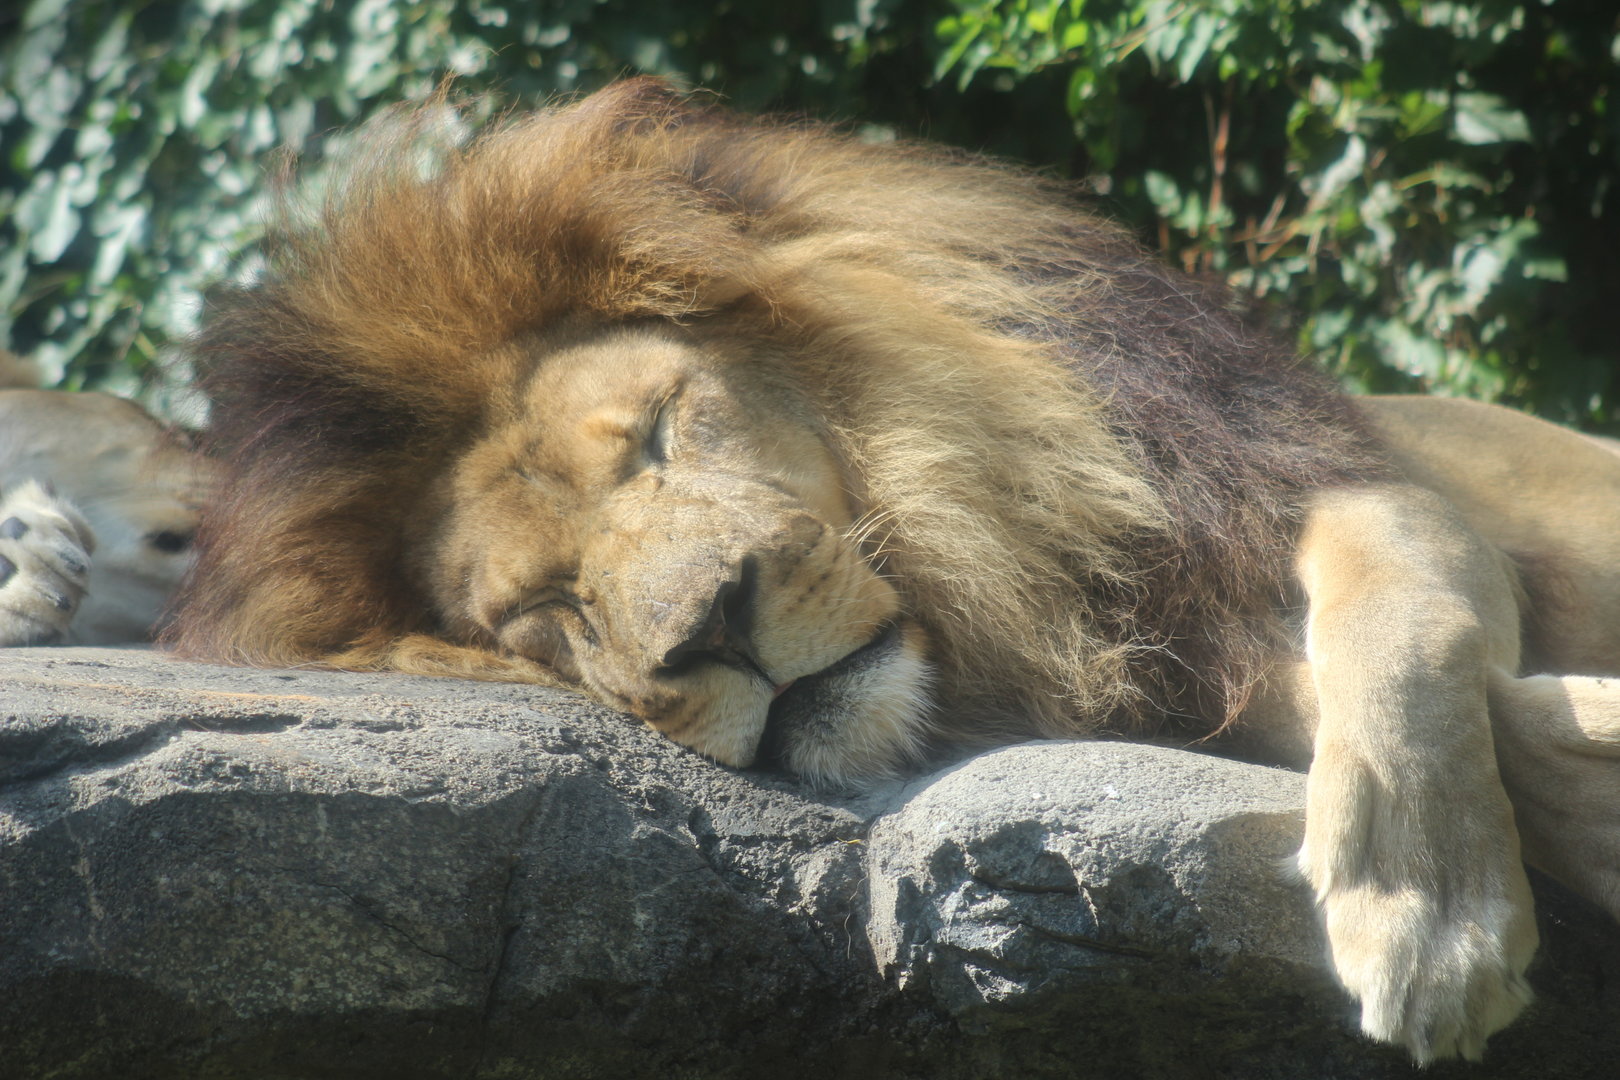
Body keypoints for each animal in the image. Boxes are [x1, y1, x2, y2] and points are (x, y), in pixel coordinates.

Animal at [166, 80, 1620, 1063]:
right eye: (543, 608)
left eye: (658, 432)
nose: (712, 627)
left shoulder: (1319, 484)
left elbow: (1403, 621)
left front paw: (1428, 914)